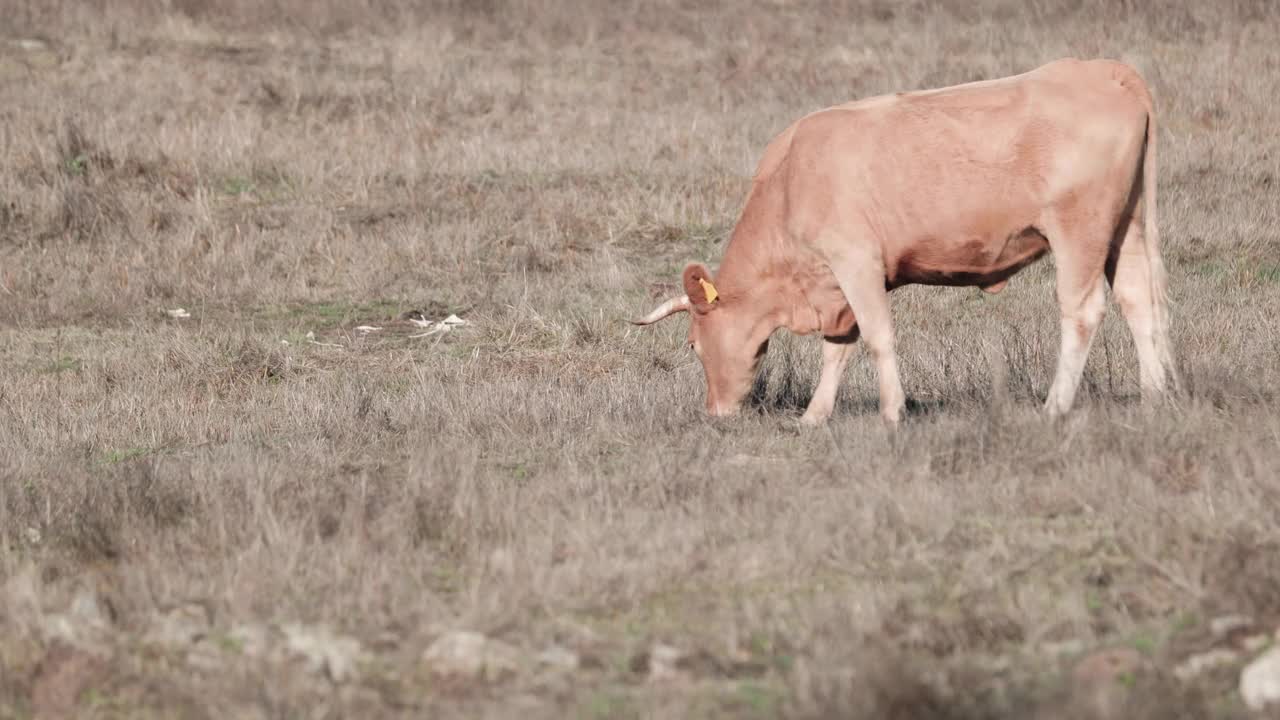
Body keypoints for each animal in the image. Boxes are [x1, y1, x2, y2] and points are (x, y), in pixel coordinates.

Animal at [629, 60, 1177, 425]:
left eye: (693, 344)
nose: (715, 412)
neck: (791, 180)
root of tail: (1103, 70)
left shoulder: (855, 261)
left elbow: (876, 336)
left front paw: (892, 412)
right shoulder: (836, 286)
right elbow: (838, 349)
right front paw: (814, 417)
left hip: (1079, 229)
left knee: (1082, 311)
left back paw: (1055, 405)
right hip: (1126, 228)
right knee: (1138, 301)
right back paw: (1152, 395)